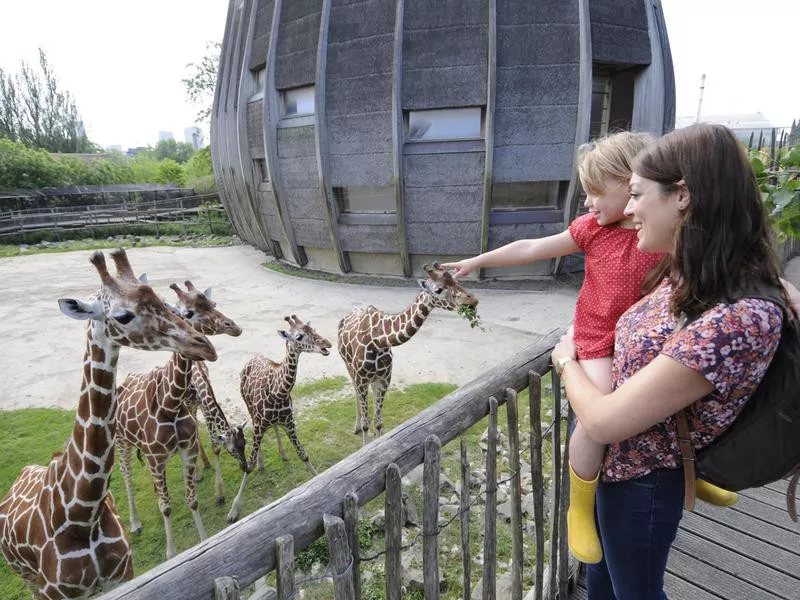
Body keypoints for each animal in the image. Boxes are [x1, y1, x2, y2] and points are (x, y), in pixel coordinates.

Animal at [115, 280, 241, 556]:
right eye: (189, 313)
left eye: (212, 303)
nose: (234, 327)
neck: (169, 403)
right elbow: (167, 507)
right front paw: (171, 553)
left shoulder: (194, 419)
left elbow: (191, 496)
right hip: (121, 442)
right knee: (126, 473)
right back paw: (135, 523)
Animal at [228, 316, 332, 524]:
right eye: (299, 336)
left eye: (313, 329)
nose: (326, 344)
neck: (278, 392)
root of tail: (252, 358)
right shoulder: (260, 424)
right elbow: (249, 465)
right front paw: (234, 510)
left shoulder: (290, 422)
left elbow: (303, 454)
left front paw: (318, 479)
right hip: (250, 408)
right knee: (256, 441)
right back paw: (261, 463)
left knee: (275, 427)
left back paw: (283, 454)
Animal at [336, 264, 476, 446]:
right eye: (438, 289)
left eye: (457, 281)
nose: (472, 300)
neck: (378, 340)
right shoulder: (361, 380)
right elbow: (367, 423)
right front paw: (366, 443)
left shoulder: (385, 379)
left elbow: (378, 422)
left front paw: (377, 441)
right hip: (349, 367)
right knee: (355, 391)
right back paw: (356, 427)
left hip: (373, 378)